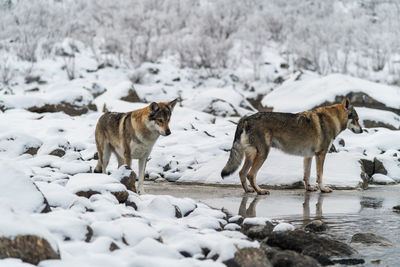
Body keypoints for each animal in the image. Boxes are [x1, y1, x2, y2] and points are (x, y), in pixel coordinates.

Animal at [222, 98, 362, 195]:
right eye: (356, 119)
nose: (361, 130)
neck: (333, 119)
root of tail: (245, 119)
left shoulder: (308, 156)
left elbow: (306, 175)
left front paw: (309, 188)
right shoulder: (321, 155)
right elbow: (320, 175)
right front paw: (323, 189)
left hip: (251, 156)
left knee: (242, 173)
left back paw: (248, 190)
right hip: (262, 155)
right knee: (250, 175)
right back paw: (260, 191)